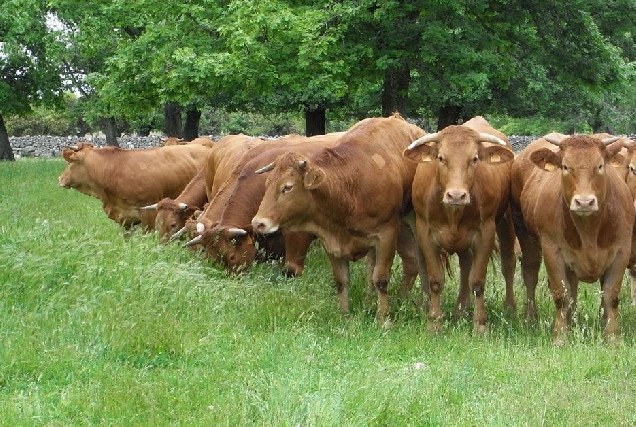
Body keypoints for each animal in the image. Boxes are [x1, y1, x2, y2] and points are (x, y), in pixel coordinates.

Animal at [250, 115, 428, 326]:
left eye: (287, 187)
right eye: (267, 184)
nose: (258, 223)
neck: (348, 189)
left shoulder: (387, 234)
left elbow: (381, 278)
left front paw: (383, 319)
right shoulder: (331, 241)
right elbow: (342, 281)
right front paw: (345, 317)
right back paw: (376, 300)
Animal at [402, 116, 516, 334]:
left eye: (474, 159)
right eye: (441, 158)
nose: (456, 195)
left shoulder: (486, 233)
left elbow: (478, 282)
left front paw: (480, 324)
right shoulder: (424, 233)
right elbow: (435, 281)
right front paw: (434, 322)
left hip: (505, 223)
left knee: (505, 265)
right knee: (465, 264)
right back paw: (460, 310)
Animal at [510, 134, 632, 344]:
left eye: (600, 165)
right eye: (566, 166)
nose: (584, 202)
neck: (589, 230)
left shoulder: (621, 251)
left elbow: (611, 295)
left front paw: (612, 337)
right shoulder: (552, 250)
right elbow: (561, 294)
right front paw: (560, 336)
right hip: (524, 232)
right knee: (531, 275)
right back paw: (531, 318)